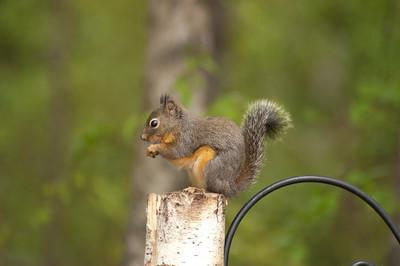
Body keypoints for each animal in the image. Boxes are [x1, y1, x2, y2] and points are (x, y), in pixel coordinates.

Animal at [141, 94, 290, 196]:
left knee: (214, 190)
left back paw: (199, 190)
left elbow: (176, 151)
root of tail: (230, 187)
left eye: (154, 123)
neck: (178, 125)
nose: (142, 137)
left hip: (210, 165)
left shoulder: (186, 139)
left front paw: (154, 147)